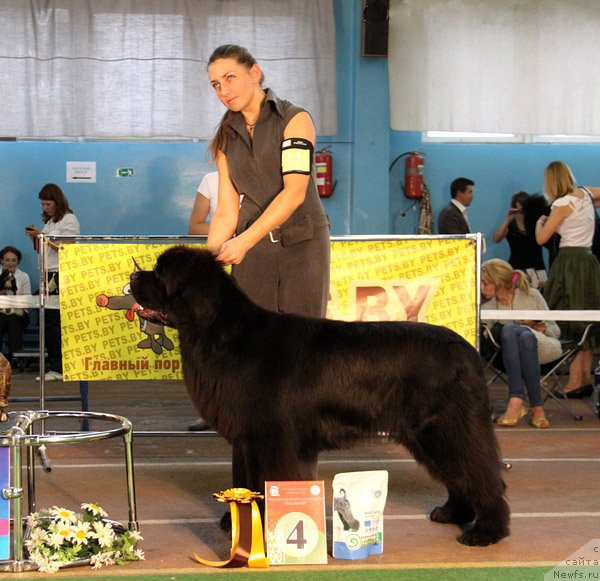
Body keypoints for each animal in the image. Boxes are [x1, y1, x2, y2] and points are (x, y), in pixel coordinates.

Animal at [129, 245, 508, 544]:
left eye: (160, 274)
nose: (132, 275)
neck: (219, 333)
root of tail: (469, 350)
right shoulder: (250, 440)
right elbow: (248, 480)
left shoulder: (271, 438)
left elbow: (267, 479)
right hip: (428, 435)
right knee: (459, 473)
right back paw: (453, 514)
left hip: (446, 428)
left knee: (480, 472)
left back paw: (486, 532)